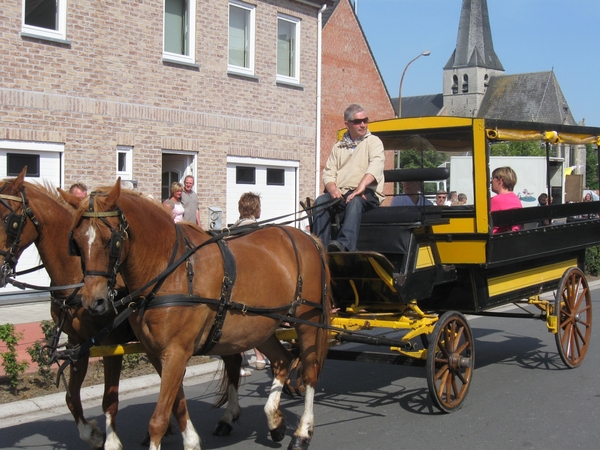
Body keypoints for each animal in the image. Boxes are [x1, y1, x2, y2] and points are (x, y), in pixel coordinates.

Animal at [0, 169, 132, 450]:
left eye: (10, 220)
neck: (79, 278)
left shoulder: (111, 344)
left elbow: (110, 400)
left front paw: (111, 440)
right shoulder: (76, 342)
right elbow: (71, 397)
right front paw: (91, 433)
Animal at [64, 180, 332, 450]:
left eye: (111, 241)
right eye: (75, 241)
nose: (93, 301)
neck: (169, 269)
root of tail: (307, 237)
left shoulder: (176, 352)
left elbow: (158, 420)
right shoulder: (157, 353)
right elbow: (177, 404)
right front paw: (191, 441)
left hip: (308, 321)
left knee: (309, 372)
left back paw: (302, 433)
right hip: (260, 327)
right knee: (282, 360)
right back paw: (274, 421)